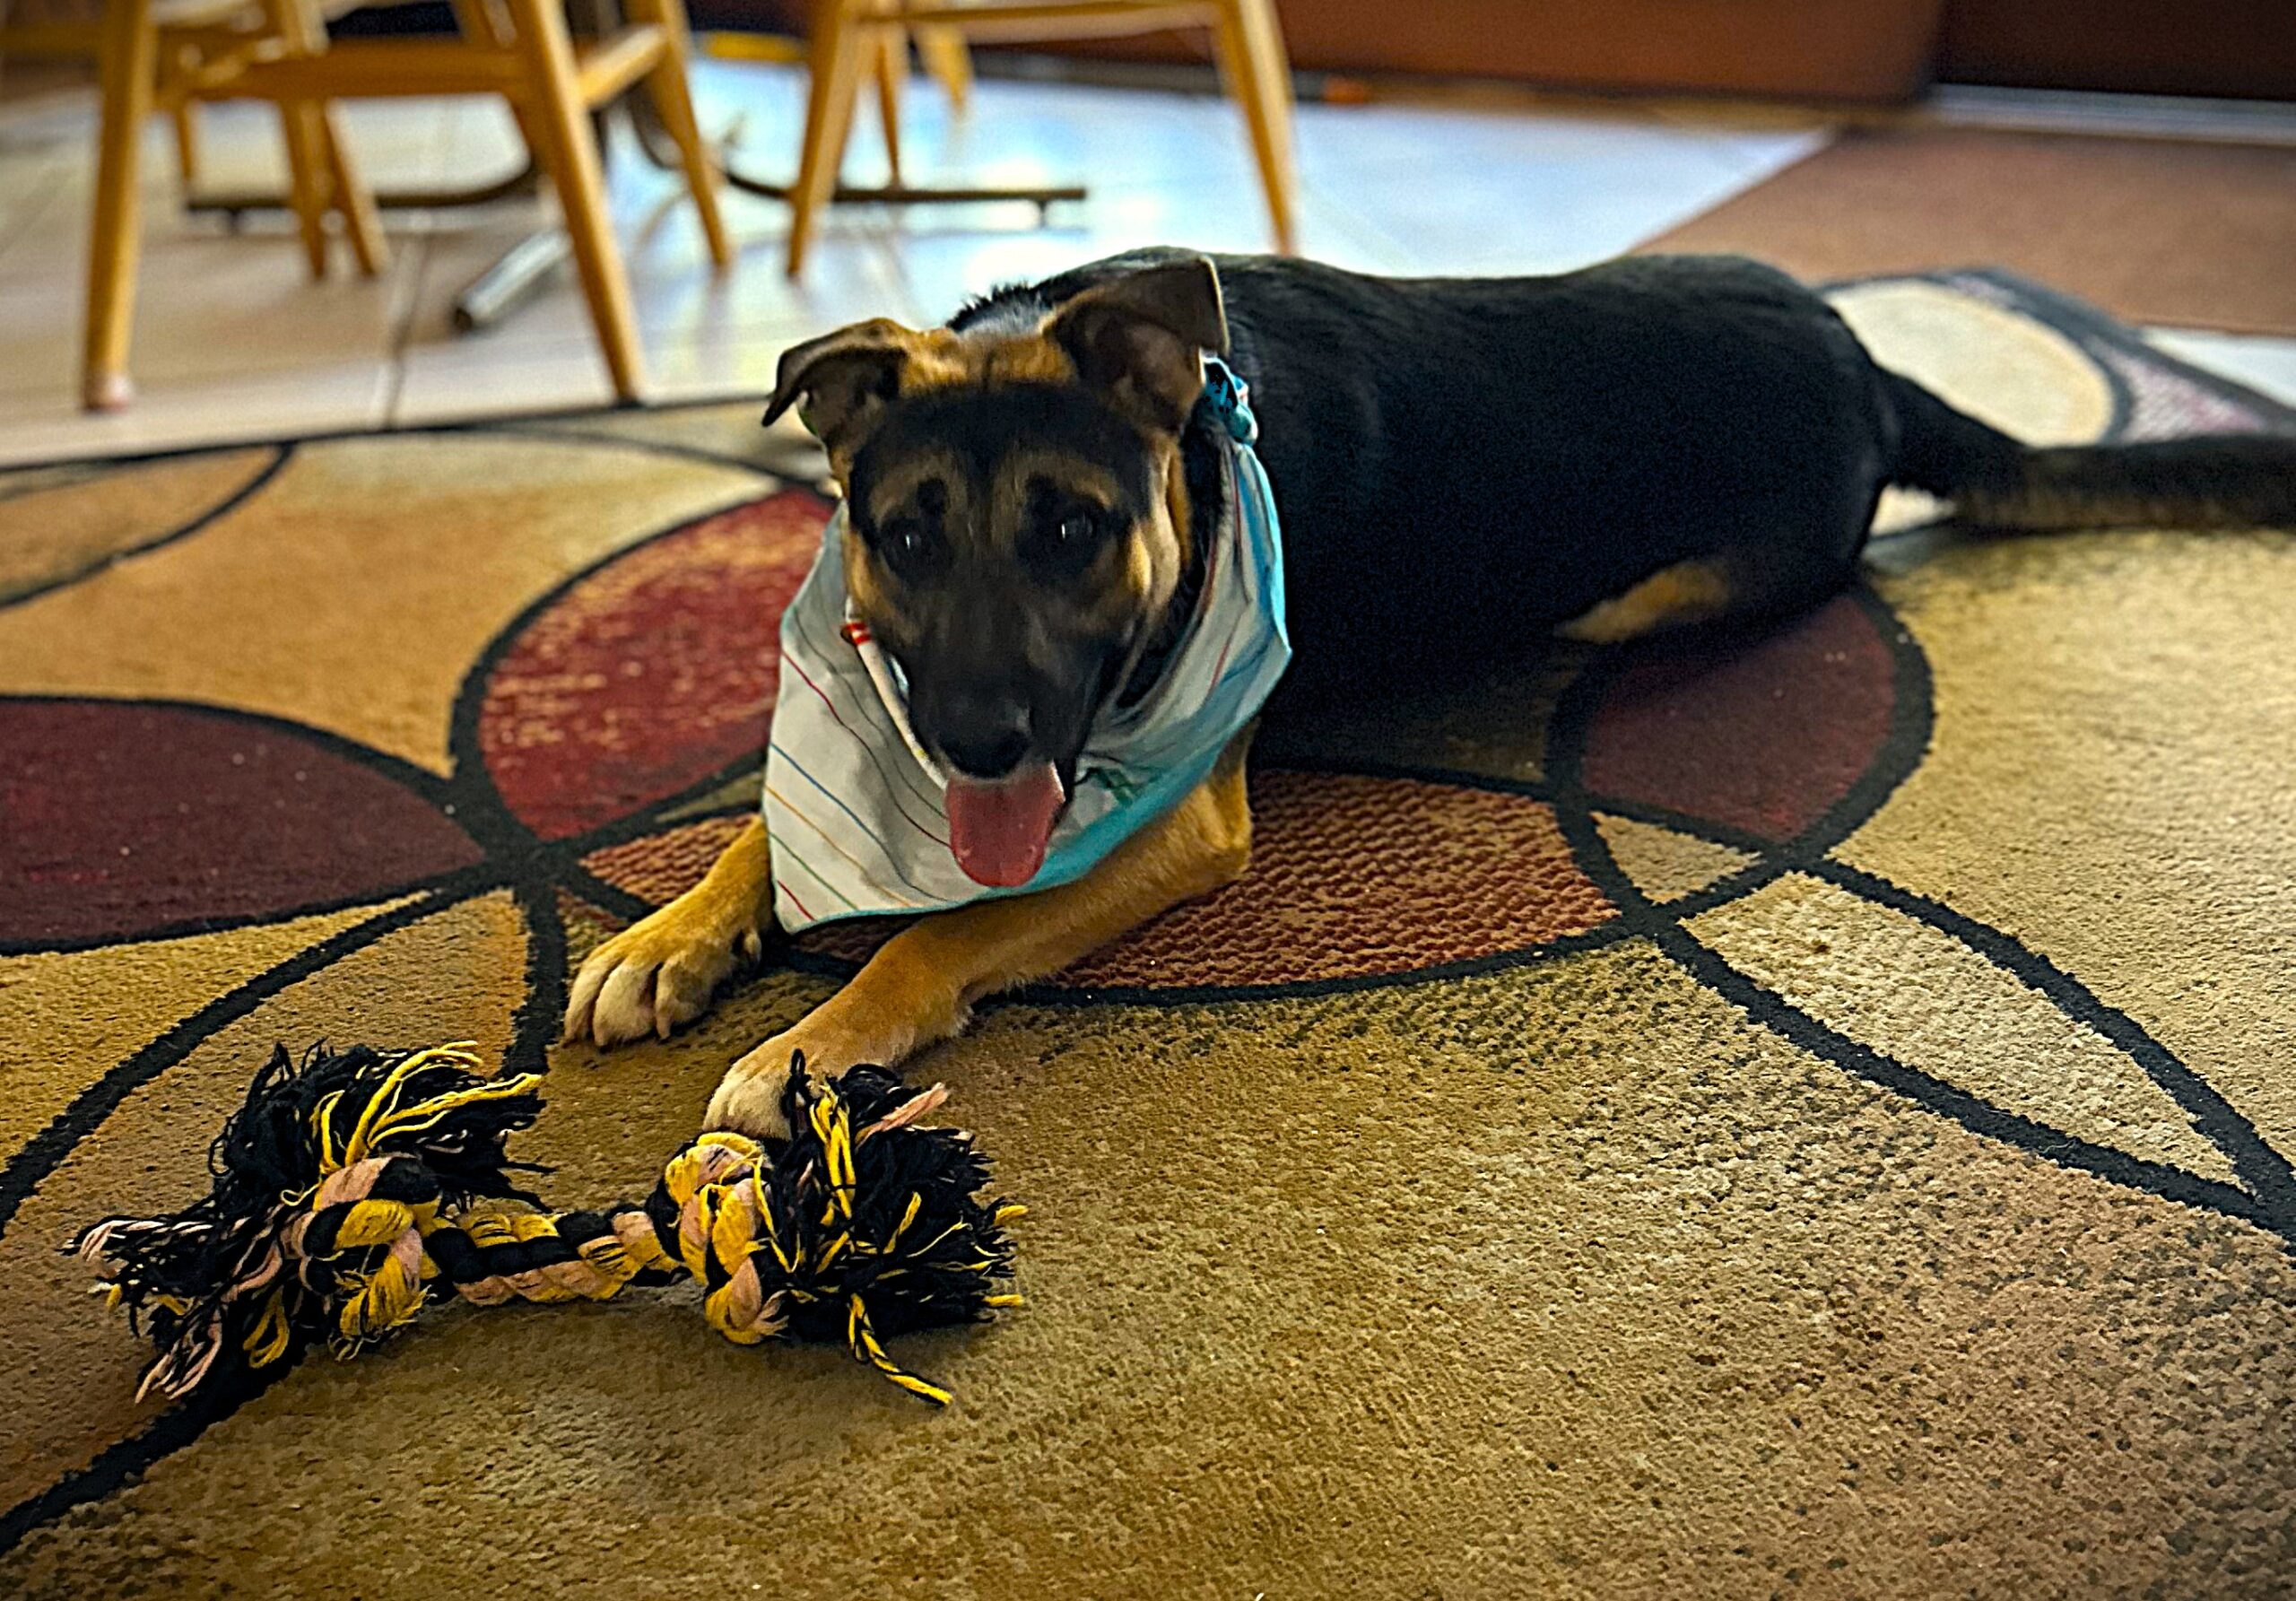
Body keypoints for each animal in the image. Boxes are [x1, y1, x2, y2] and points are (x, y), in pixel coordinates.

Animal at [560, 247, 2296, 1135]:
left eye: (1073, 530)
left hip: (1644, 594)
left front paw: (808, 1042)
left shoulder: (1169, 823)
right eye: (908, 534)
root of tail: (1869, 357)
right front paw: (662, 936)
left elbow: (935, 934)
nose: (983, 746)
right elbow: (758, 831)